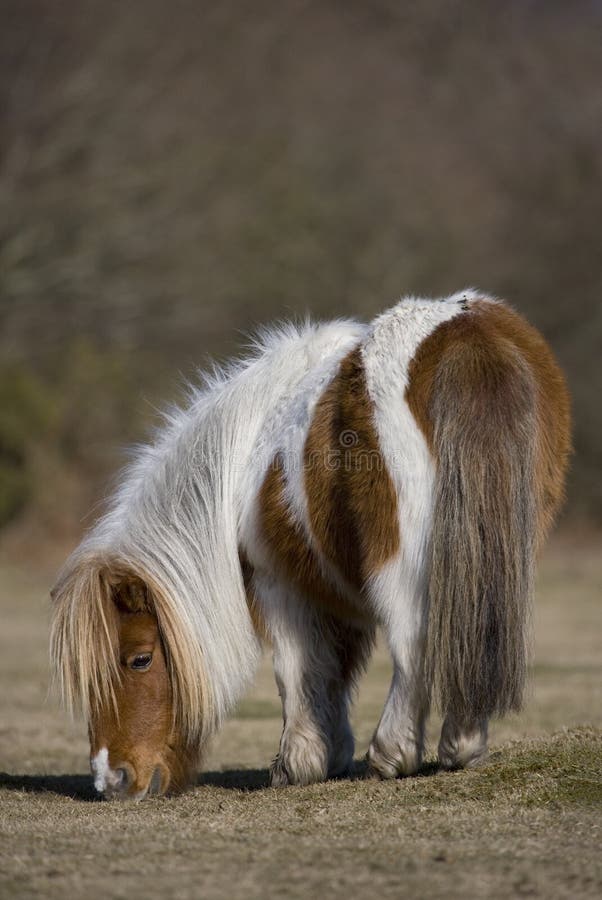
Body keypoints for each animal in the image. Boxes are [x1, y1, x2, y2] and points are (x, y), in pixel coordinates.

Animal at [50, 290, 571, 799]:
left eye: (139, 659)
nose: (111, 779)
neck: (245, 453)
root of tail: (465, 337)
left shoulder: (276, 582)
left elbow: (296, 668)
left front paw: (297, 764)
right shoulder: (329, 590)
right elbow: (334, 669)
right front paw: (331, 753)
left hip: (400, 560)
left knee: (413, 639)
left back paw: (395, 754)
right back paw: (460, 743)